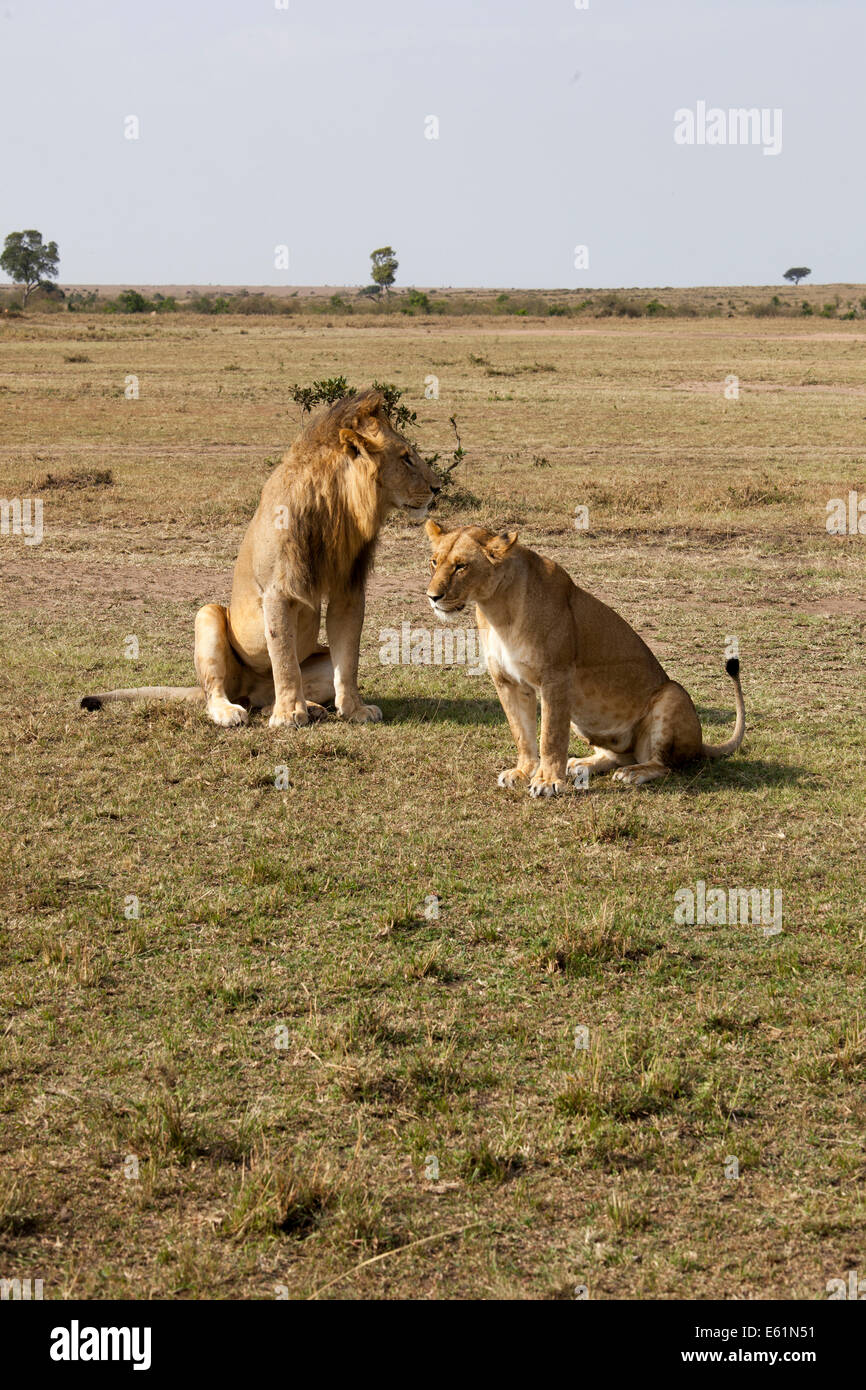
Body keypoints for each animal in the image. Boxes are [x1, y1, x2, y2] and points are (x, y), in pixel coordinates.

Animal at [81, 390, 440, 726]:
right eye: (406, 458)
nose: (437, 488)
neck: (337, 509)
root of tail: (248, 690)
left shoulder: (348, 590)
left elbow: (348, 660)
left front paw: (354, 710)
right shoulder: (277, 590)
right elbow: (283, 657)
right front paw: (289, 715)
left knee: (272, 696)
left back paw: (307, 707)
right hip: (208, 617)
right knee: (215, 691)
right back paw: (233, 711)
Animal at [425, 521, 745, 794]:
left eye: (462, 566)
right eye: (434, 562)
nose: (432, 597)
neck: (496, 608)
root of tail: (700, 743)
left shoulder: (556, 678)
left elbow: (550, 736)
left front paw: (547, 782)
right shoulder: (507, 681)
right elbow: (522, 733)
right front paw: (523, 772)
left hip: (672, 694)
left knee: (663, 764)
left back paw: (633, 773)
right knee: (617, 756)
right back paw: (581, 764)